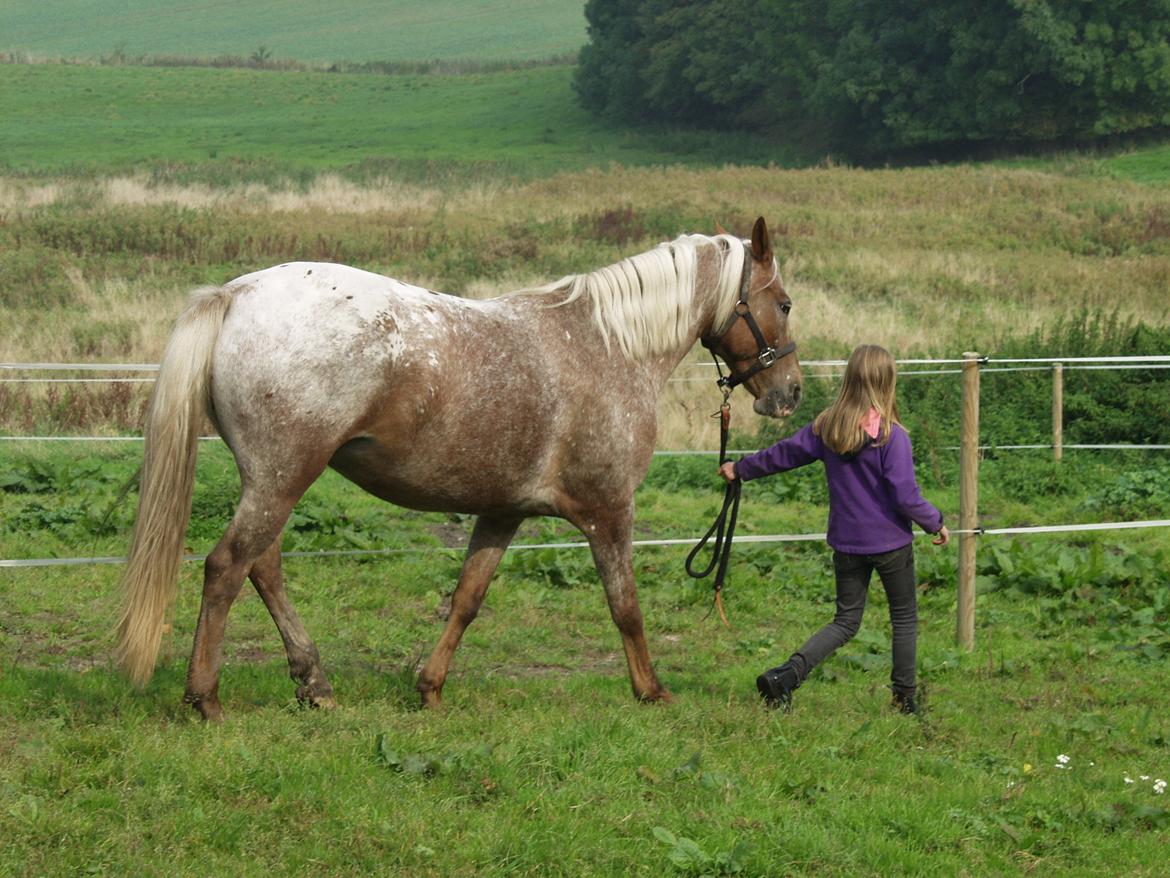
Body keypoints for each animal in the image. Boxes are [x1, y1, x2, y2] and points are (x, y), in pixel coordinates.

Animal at [114, 215, 800, 721]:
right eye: (785, 303)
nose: (788, 393)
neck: (608, 347)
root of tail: (237, 294)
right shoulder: (608, 510)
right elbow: (624, 604)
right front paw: (651, 690)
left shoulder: (503, 512)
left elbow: (467, 600)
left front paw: (431, 688)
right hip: (283, 477)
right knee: (227, 568)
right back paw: (206, 699)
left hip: (273, 480)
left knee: (264, 568)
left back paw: (314, 684)